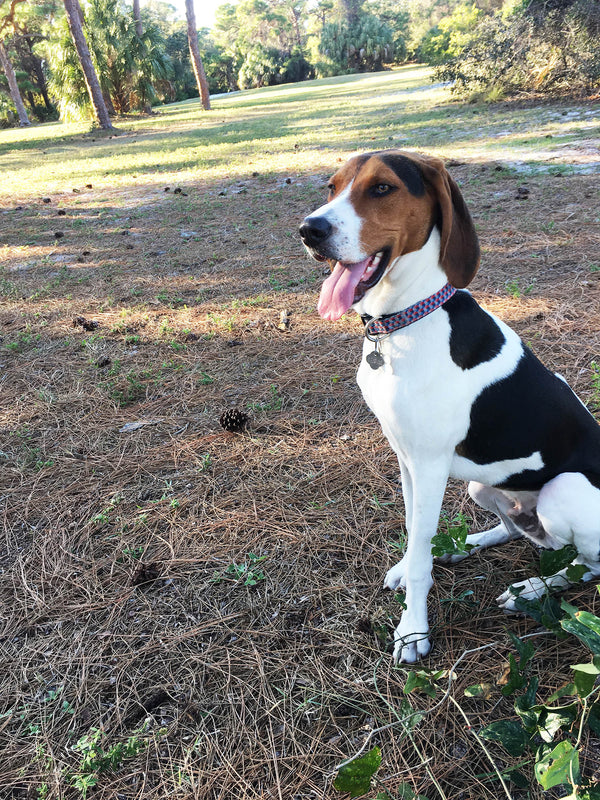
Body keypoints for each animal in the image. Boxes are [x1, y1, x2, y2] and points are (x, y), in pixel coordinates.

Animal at [298, 148, 600, 664]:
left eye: (382, 187)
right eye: (331, 186)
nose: (309, 230)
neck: (404, 322)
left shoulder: (430, 464)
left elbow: (420, 554)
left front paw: (412, 630)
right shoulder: (406, 460)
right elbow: (414, 534)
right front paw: (408, 565)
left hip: (565, 489)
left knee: (584, 564)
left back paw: (533, 588)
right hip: (483, 486)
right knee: (518, 530)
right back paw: (471, 543)